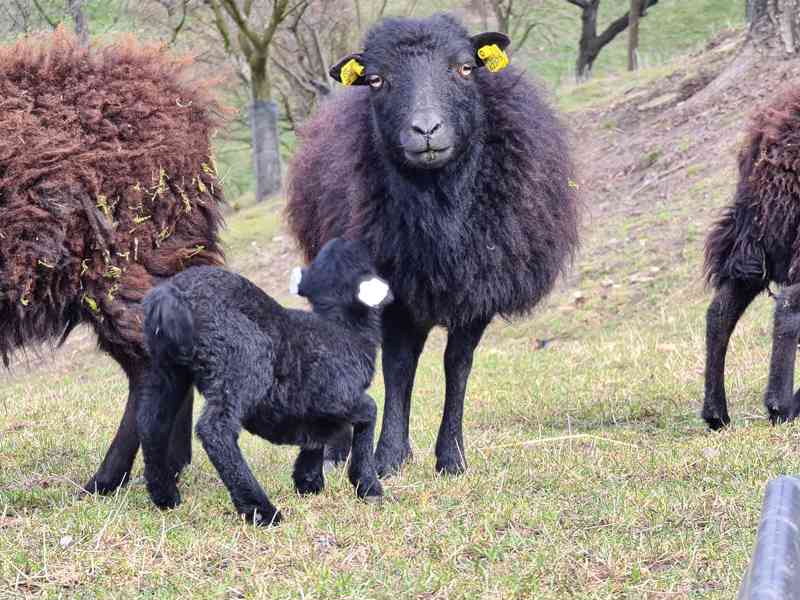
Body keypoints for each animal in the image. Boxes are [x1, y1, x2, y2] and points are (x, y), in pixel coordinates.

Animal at [138, 239, 394, 524]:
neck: (341, 328)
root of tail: (170, 295)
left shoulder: (313, 411)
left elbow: (316, 438)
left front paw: (308, 482)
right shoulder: (337, 396)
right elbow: (369, 412)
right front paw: (368, 487)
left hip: (165, 368)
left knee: (152, 424)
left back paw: (165, 496)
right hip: (243, 360)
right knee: (215, 429)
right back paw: (260, 510)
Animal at [284, 11, 580, 476]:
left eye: (465, 68)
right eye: (376, 80)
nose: (426, 130)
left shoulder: (478, 290)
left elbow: (456, 366)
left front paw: (451, 457)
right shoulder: (395, 287)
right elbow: (398, 367)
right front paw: (386, 457)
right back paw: (336, 451)